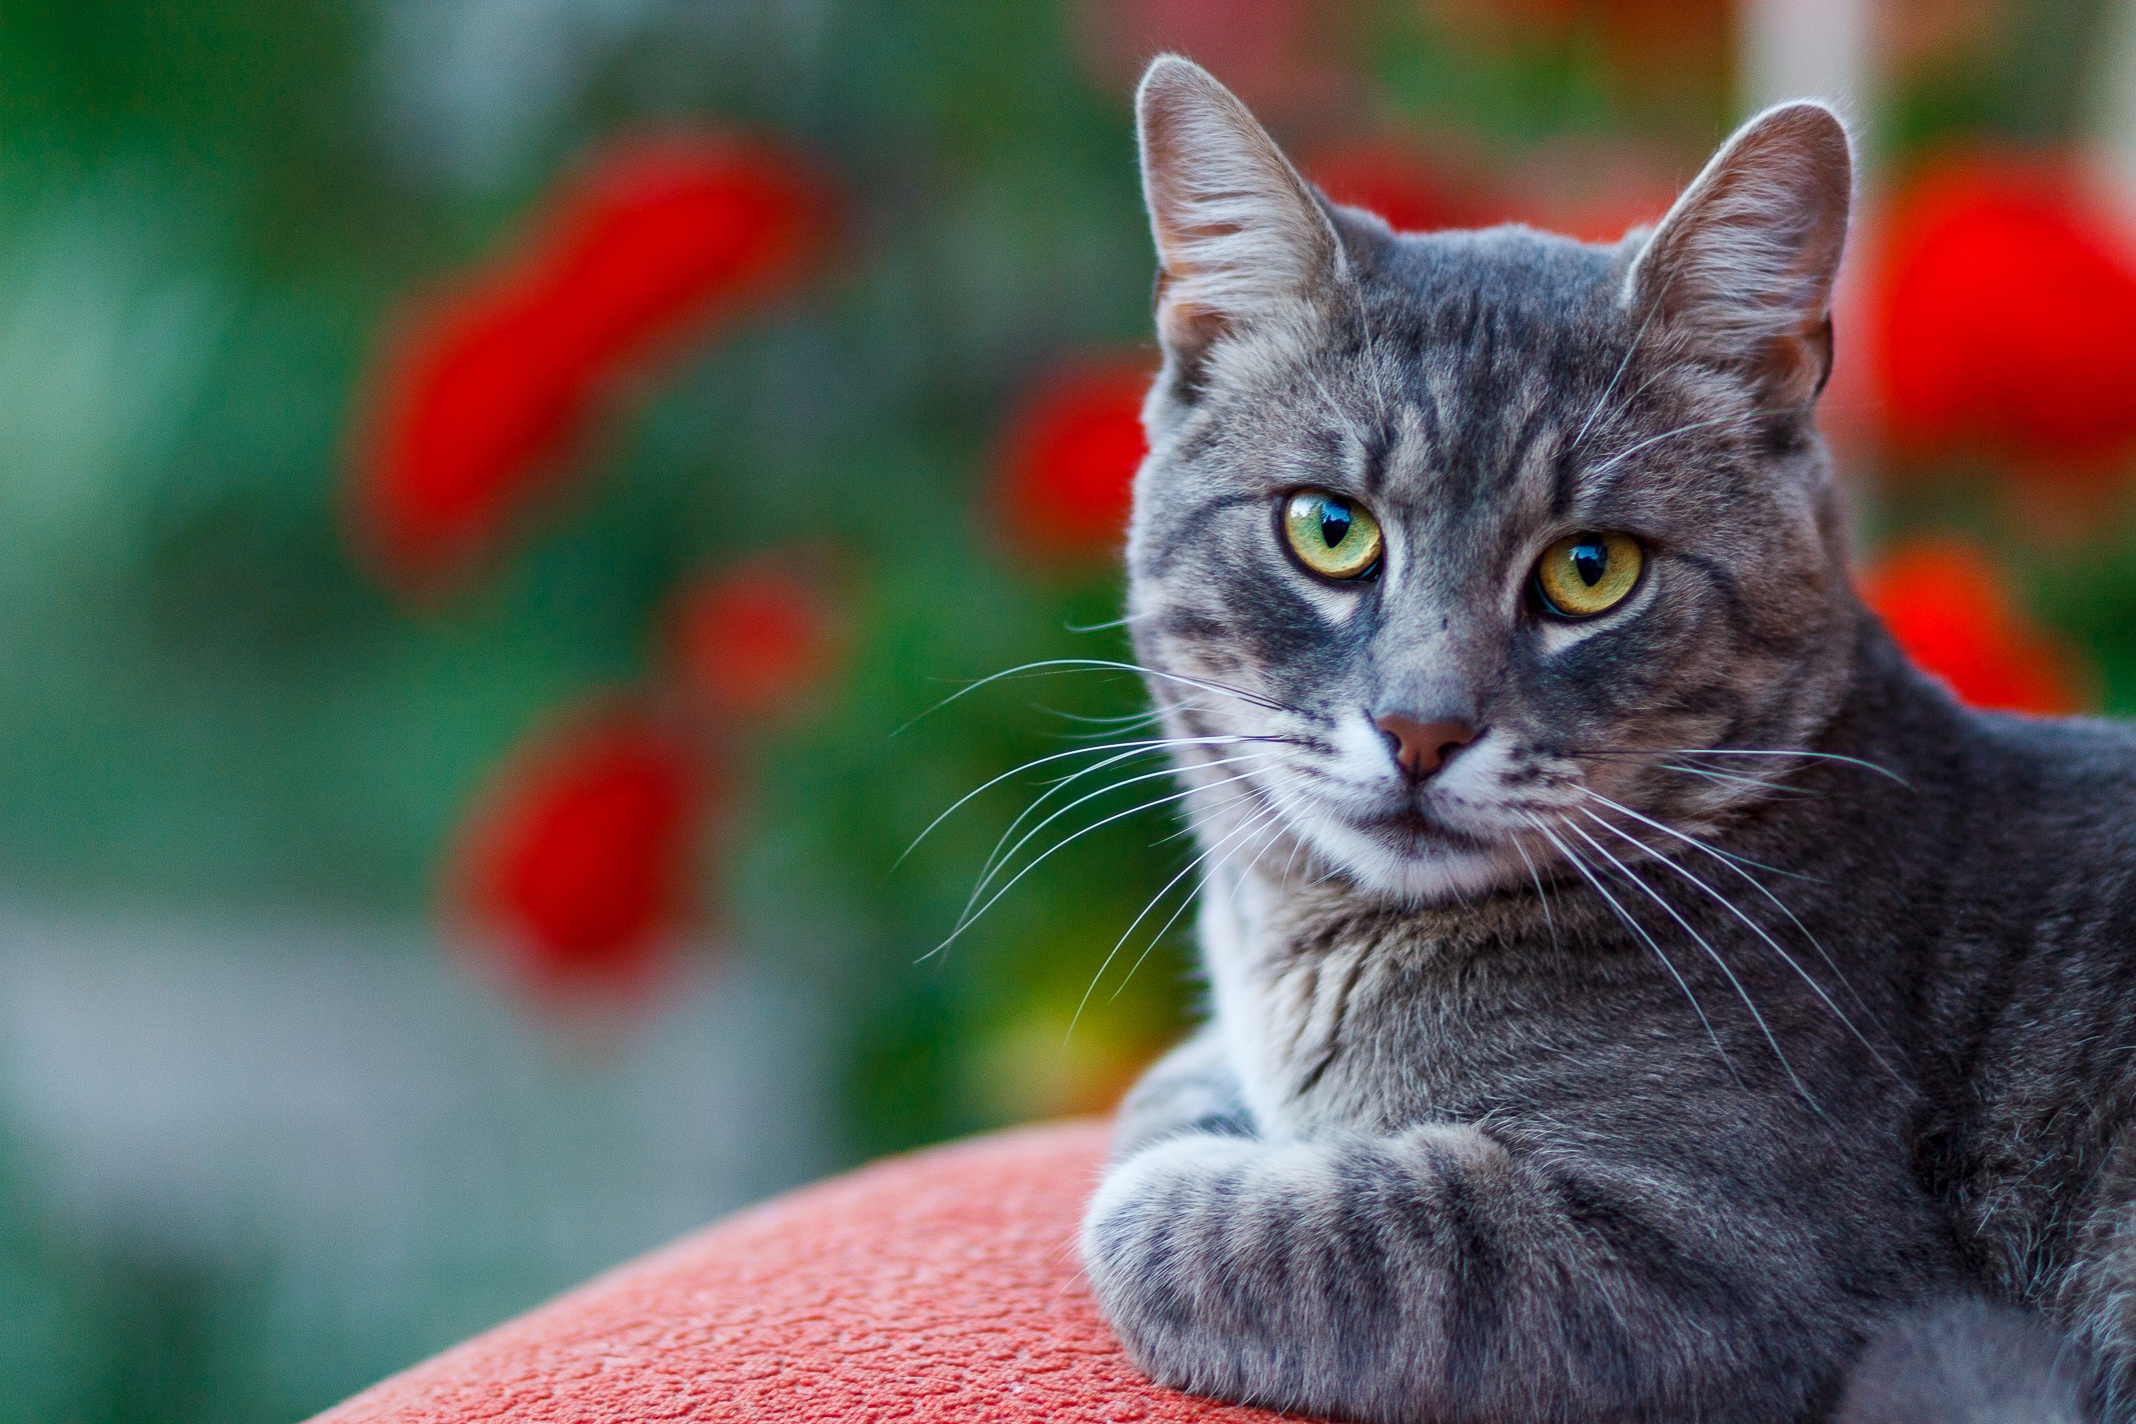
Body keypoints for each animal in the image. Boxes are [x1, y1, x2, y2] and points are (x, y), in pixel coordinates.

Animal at [1085, 55, 2136, 1424]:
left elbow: (1233, 1225)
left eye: (1592, 569)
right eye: (1329, 528)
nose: (1421, 726)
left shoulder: (1726, 1262)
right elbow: (1170, 1087)